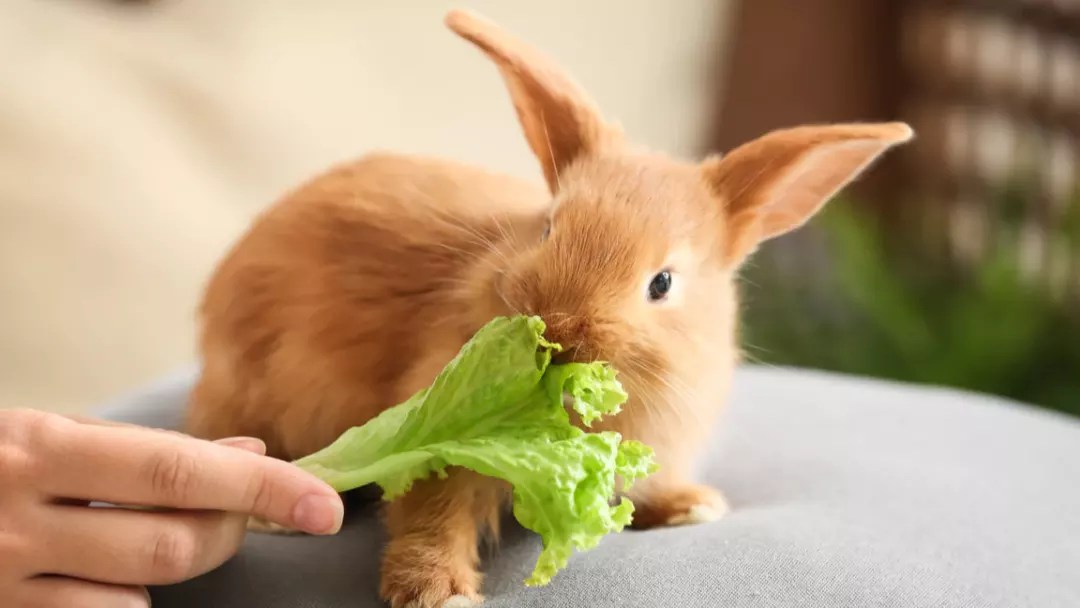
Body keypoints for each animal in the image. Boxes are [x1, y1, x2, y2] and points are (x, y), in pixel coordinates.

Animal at [184, 8, 913, 608]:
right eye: (548, 229)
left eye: (662, 283)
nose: (558, 332)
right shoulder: (436, 431)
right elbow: (433, 511)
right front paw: (436, 592)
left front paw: (692, 507)